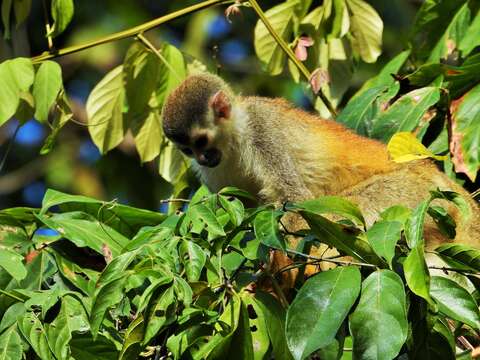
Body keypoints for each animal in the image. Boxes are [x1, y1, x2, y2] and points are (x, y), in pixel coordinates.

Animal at [164, 73, 480, 253]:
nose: (204, 157)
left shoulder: (261, 126)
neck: (233, 137)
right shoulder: (211, 173)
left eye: (201, 142)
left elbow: (295, 202)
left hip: (418, 194)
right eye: (187, 150)